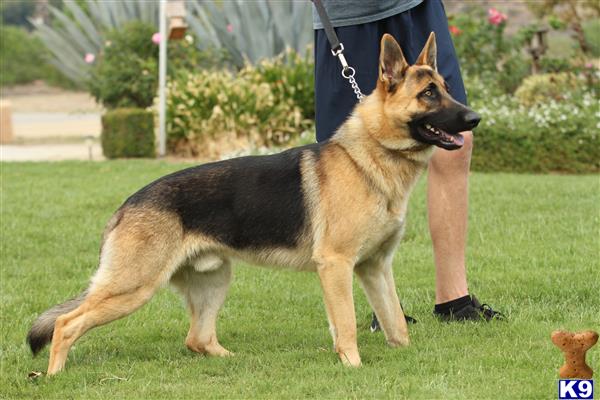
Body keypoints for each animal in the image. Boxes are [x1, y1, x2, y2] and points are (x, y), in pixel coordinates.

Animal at [28, 32, 480, 374]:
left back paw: (237, 361)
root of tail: (126, 205)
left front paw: (405, 356)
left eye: (447, 90)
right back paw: (53, 376)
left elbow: (396, 323)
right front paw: (352, 366)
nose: (475, 119)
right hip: (133, 288)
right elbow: (347, 323)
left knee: (197, 338)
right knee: (66, 323)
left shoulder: (376, 268)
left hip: (215, 280)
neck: (370, 156)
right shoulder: (336, 267)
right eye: (428, 94)